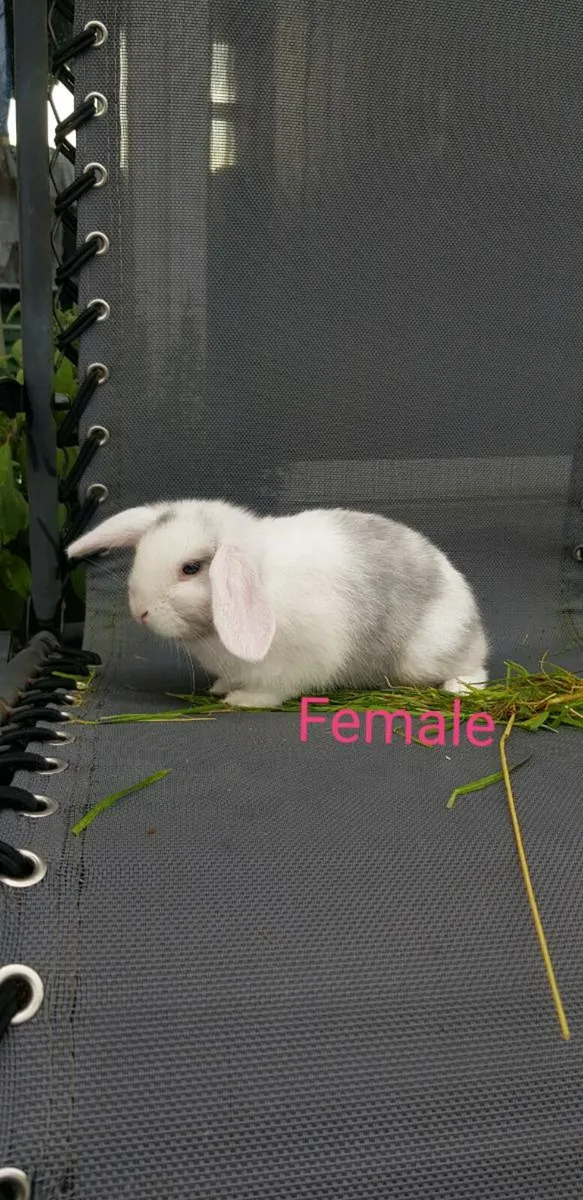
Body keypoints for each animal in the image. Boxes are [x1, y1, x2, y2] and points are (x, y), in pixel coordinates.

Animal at [66, 499, 488, 708]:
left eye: (190, 568)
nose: (139, 611)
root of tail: (472, 618)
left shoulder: (293, 665)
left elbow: (272, 691)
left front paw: (241, 700)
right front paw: (221, 687)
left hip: (428, 654)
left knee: (474, 667)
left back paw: (460, 688)